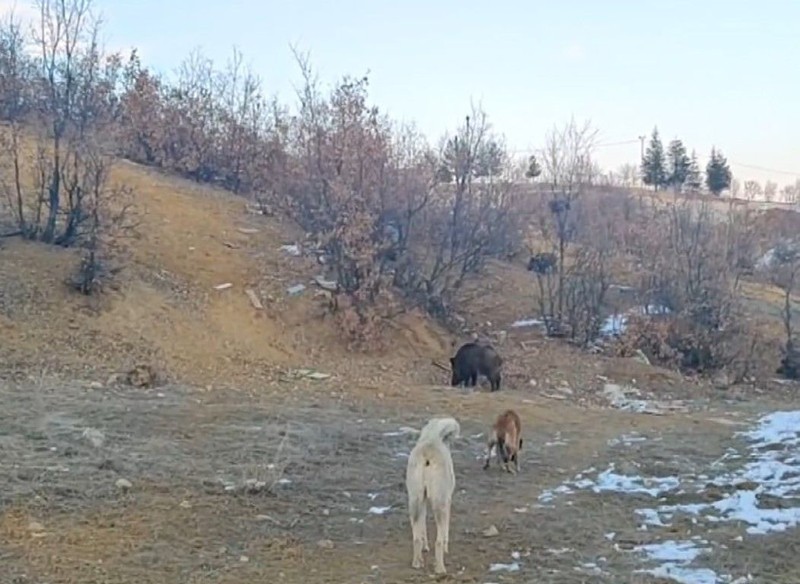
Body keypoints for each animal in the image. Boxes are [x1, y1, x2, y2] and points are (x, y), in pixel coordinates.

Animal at [406, 416, 462, 576]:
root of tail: (427, 453)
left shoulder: (423, 500)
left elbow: (423, 526)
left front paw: (425, 547)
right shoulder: (448, 500)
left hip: (414, 499)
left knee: (416, 536)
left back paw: (417, 562)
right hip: (440, 502)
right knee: (438, 540)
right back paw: (440, 568)